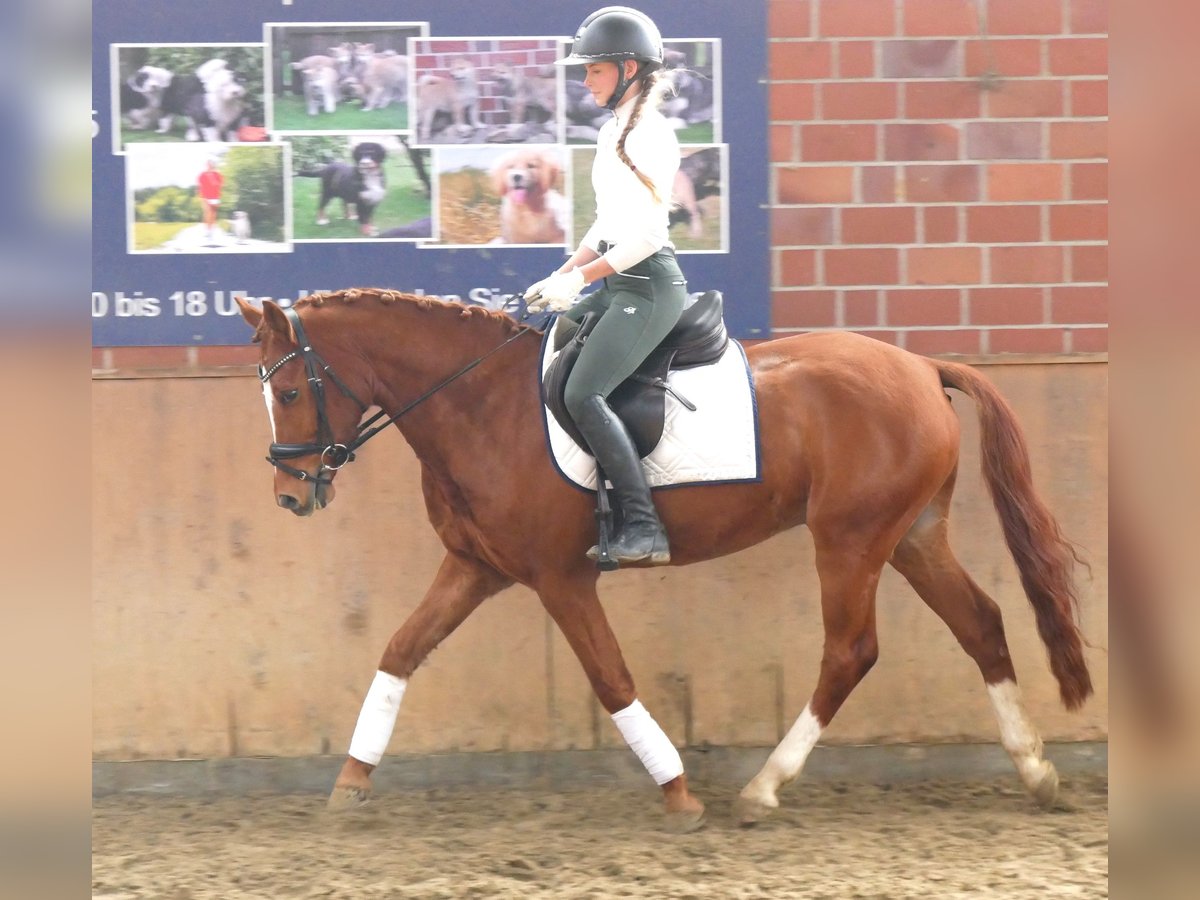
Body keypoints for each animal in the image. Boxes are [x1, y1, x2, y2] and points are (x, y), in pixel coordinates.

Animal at [234, 290, 1089, 830]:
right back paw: (1036, 772)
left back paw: (763, 789)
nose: (288, 495)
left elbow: (611, 678)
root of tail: (922, 368)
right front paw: (350, 785)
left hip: (849, 540)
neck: (480, 403)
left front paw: (680, 796)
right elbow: (400, 651)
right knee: (981, 623)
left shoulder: (560, 577)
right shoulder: (477, 568)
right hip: (911, 535)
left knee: (851, 651)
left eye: (291, 392)